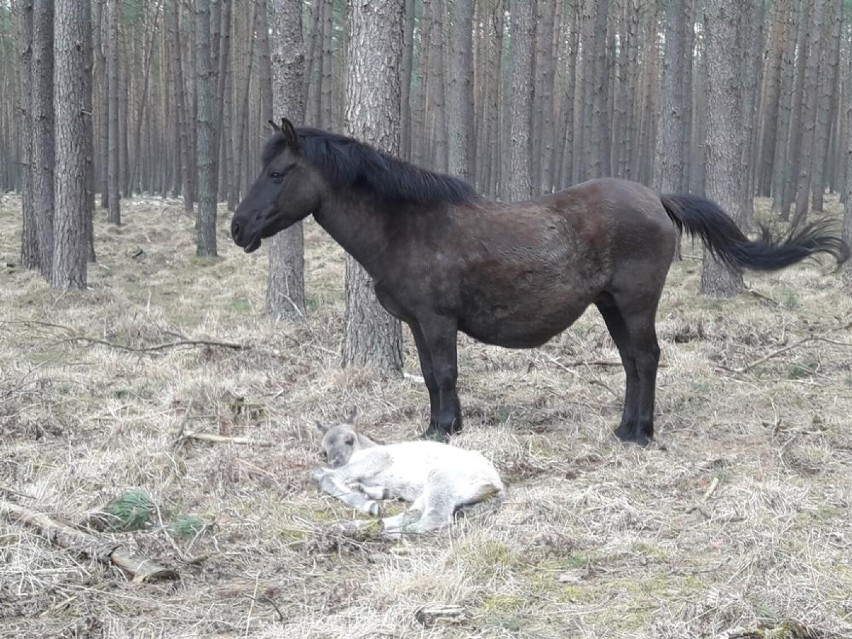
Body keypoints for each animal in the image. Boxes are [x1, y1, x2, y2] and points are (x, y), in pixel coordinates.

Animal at [230, 122, 848, 448]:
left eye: (277, 174)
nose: (237, 228)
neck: (406, 223)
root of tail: (656, 197)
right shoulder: (421, 325)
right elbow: (429, 377)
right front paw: (438, 428)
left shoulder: (437, 321)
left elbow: (443, 375)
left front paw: (445, 432)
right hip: (610, 305)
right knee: (631, 361)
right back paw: (624, 428)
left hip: (635, 302)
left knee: (647, 358)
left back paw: (641, 433)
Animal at [312, 420, 502, 536]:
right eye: (324, 450)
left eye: (349, 440)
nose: (336, 461)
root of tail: (497, 488)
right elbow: (320, 473)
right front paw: (367, 492)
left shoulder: (378, 458)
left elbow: (327, 477)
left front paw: (366, 502)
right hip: (429, 493)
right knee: (413, 513)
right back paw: (349, 527)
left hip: (440, 479)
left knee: (435, 517)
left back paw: (389, 533)